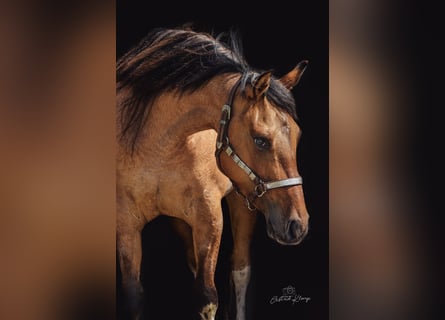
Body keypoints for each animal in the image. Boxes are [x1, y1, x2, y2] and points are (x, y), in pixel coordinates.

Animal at [115, 28, 308, 320]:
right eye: (260, 140)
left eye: (297, 136)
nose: (298, 225)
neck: (157, 146)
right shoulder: (127, 225)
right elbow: (133, 300)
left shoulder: (209, 218)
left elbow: (207, 298)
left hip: (243, 202)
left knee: (240, 270)